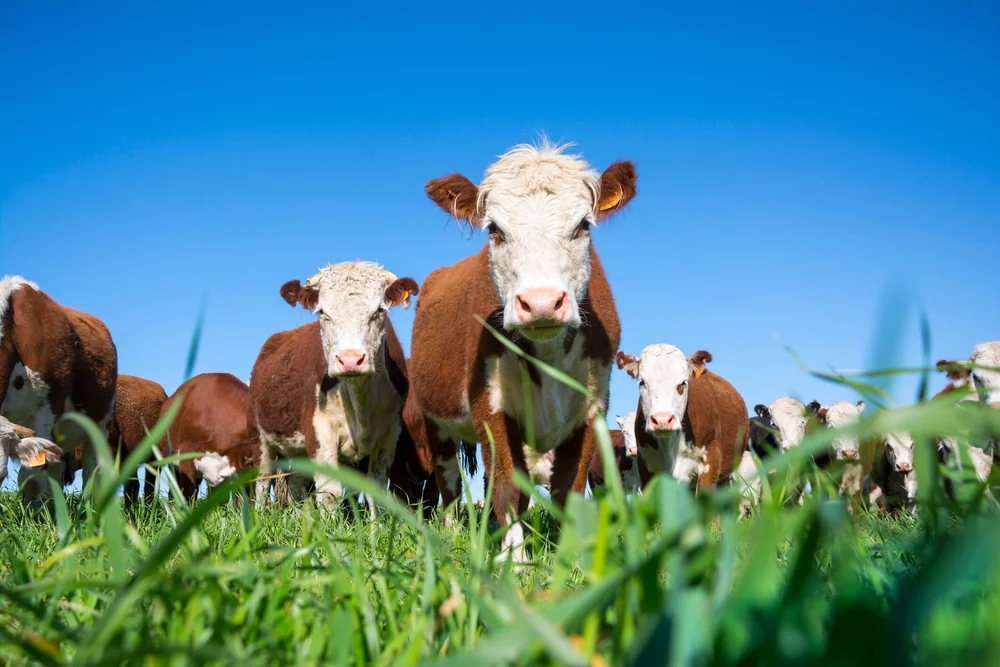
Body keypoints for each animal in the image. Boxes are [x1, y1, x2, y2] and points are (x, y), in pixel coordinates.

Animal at [248, 261, 418, 515]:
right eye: (322, 313)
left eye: (379, 311)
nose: (350, 359)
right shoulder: (320, 432)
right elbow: (330, 493)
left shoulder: (389, 434)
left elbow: (374, 491)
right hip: (259, 440)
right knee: (261, 482)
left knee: (296, 485)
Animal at [411, 141, 636, 562]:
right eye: (495, 230)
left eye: (583, 226)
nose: (542, 302)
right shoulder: (489, 405)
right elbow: (506, 487)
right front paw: (513, 562)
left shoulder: (592, 407)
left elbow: (568, 489)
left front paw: (568, 560)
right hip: (435, 419)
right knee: (448, 483)